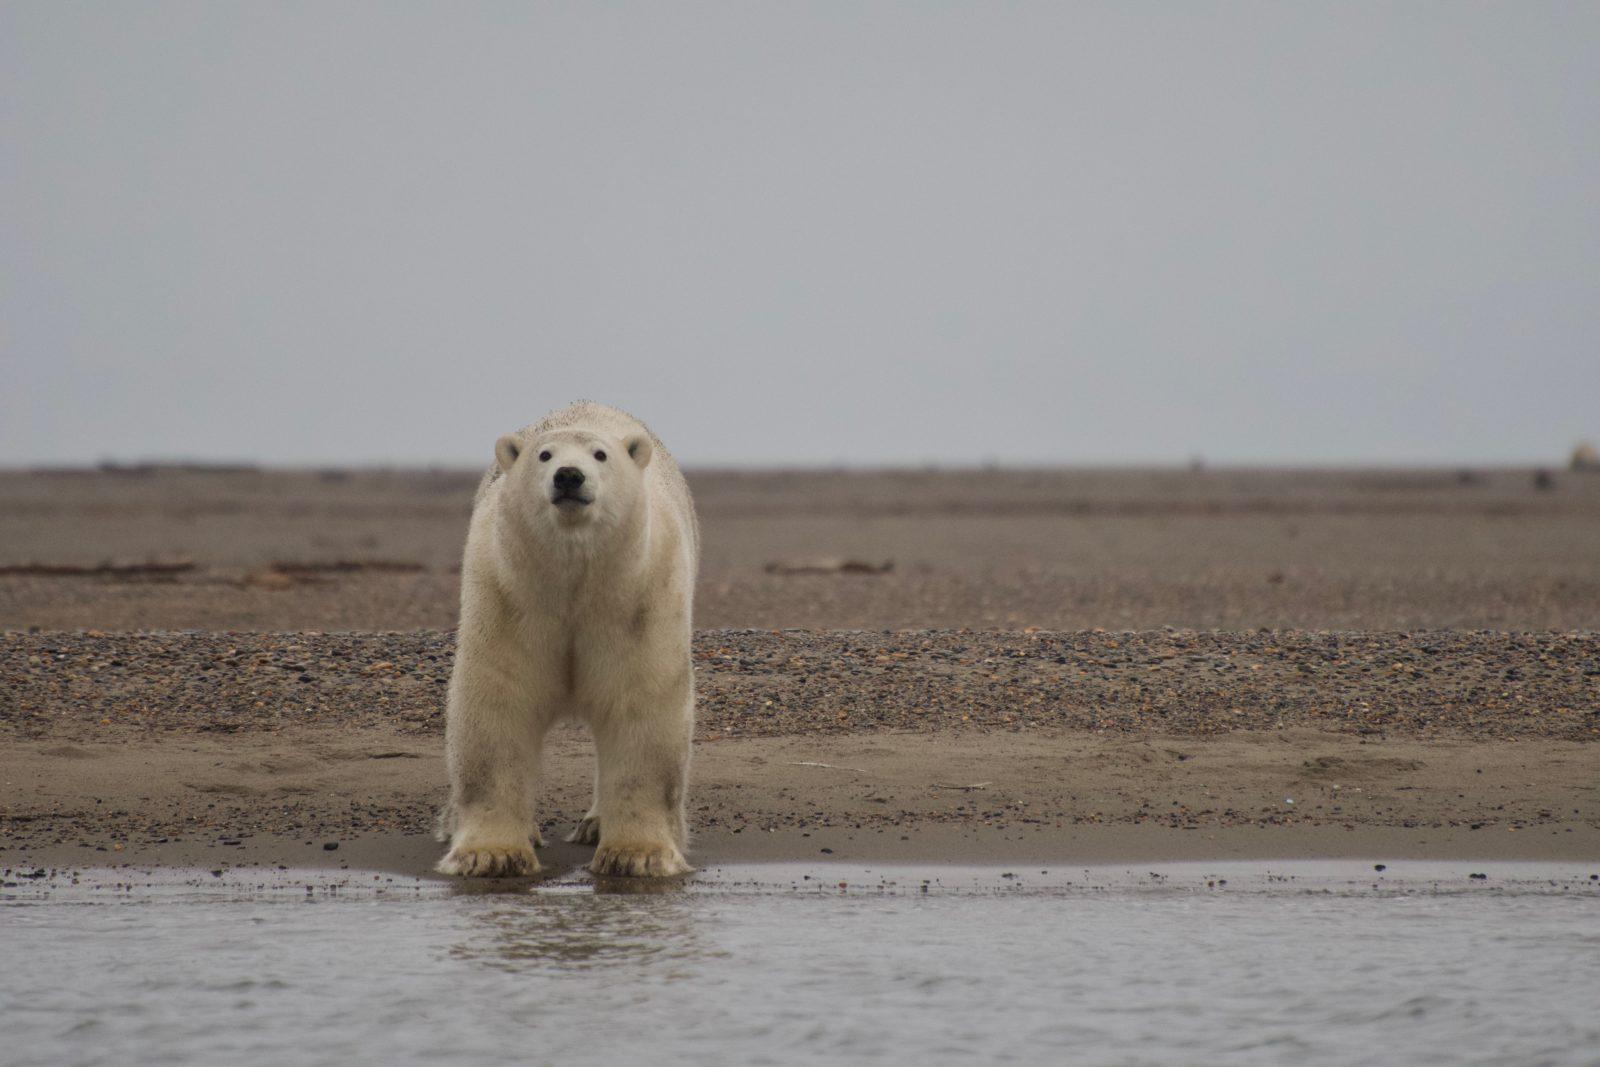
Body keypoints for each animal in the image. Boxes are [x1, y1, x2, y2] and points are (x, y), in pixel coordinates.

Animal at [435, 399, 697, 876]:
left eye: (600, 455)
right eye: (544, 455)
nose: (569, 476)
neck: (575, 579)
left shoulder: (639, 598)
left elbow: (641, 706)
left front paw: (636, 855)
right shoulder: (508, 595)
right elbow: (498, 705)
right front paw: (492, 854)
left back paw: (594, 824)